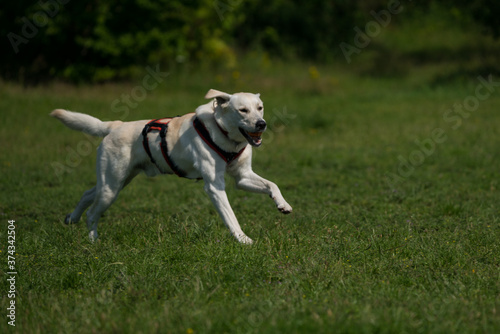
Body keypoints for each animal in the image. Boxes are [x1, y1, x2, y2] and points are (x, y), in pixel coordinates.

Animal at [49, 90, 292, 244]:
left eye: (260, 108)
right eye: (242, 110)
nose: (262, 124)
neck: (224, 135)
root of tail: (115, 125)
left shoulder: (242, 177)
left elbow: (273, 185)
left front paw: (283, 204)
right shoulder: (214, 186)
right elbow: (231, 216)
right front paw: (244, 240)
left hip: (117, 181)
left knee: (87, 193)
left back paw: (71, 218)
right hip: (112, 187)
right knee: (92, 212)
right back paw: (93, 242)